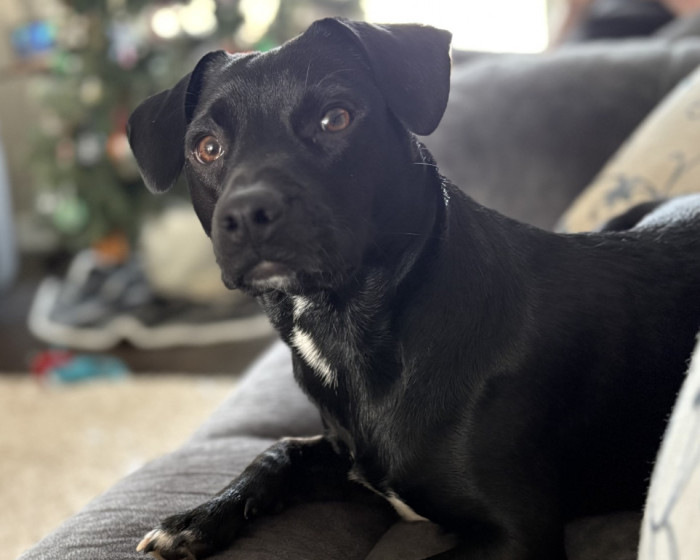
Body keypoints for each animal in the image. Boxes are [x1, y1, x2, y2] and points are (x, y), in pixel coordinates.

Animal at [127, 18, 700, 560]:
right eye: (206, 148)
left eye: (336, 118)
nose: (247, 215)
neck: (352, 333)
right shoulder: (348, 456)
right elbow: (278, 449)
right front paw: (197, 517)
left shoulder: (519, 536)